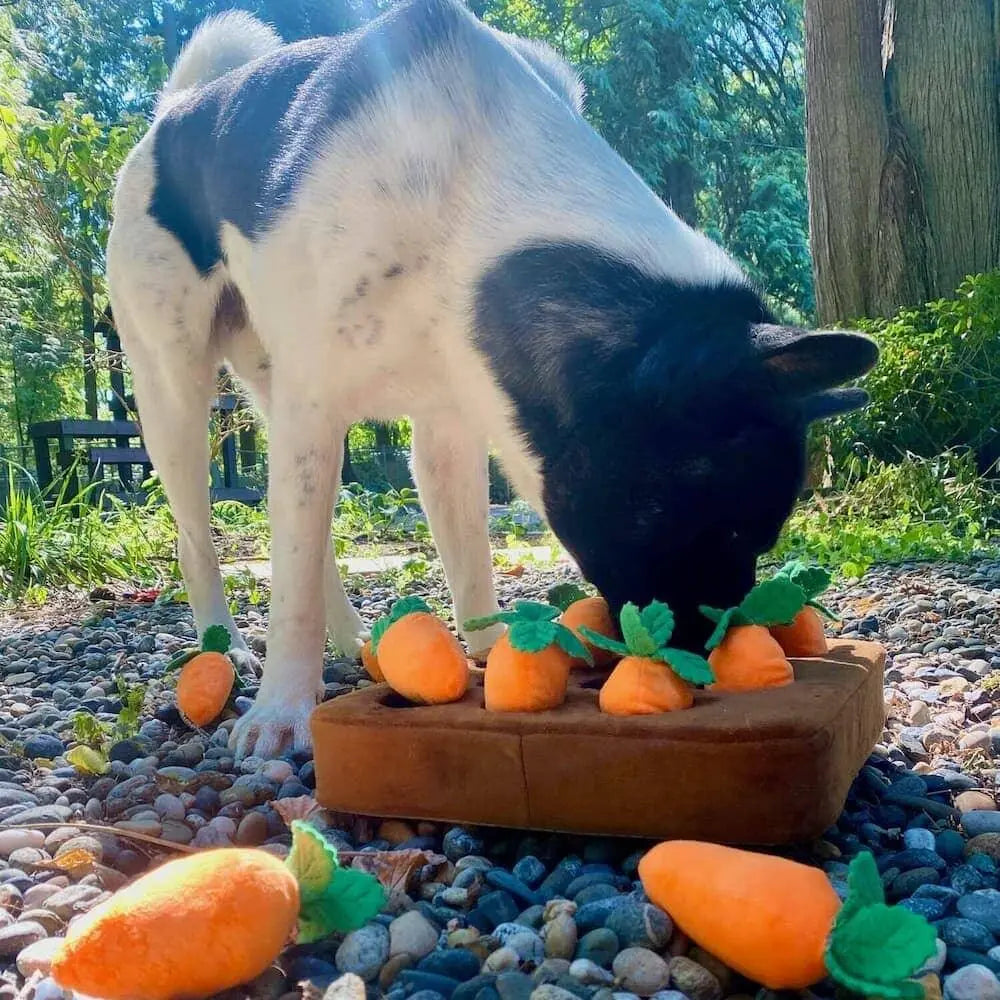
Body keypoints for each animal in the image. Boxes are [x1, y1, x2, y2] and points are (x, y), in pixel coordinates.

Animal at [107, 0, 876, 752]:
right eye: (728, 532)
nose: (706, 654)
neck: (470, 199)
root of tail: (177, 107)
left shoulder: (443, 428)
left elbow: (465, 549)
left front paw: (487, 650)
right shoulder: (316, 410)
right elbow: (290, 581)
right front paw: (282, 710)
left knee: (309, 534)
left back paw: (352, 636)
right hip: (176, 394)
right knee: (200, 536)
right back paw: (229, 648)